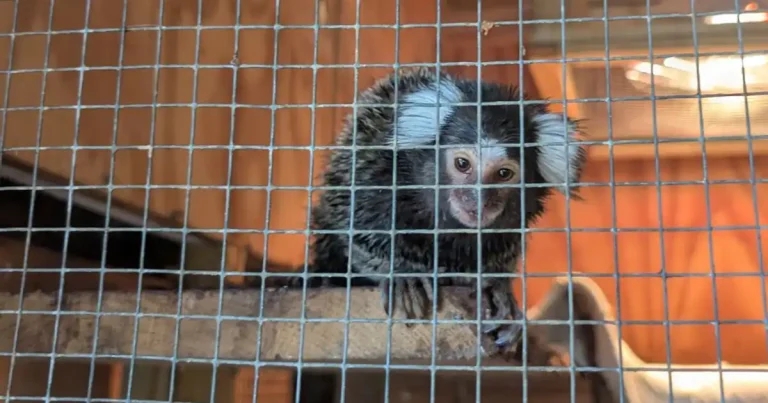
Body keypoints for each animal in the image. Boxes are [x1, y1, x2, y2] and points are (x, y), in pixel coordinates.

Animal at [295, 67, 585, 348]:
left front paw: (496, 289)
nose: (478, 200)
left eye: (504, 173)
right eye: (462, 164)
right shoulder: (374, 169)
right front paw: (402, 274)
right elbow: (358, 229)